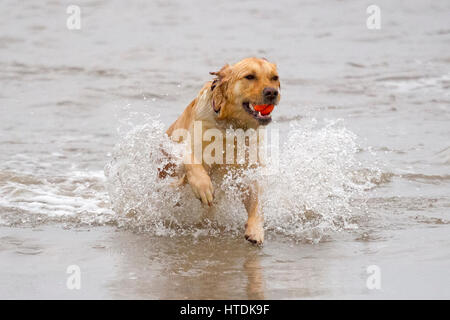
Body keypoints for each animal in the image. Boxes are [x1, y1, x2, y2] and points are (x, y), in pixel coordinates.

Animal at [163, 57, 280, 244]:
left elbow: (256, 200)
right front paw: (203, 187)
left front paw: (255, 230)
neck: (230, 126)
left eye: (274, 77)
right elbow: (190, 161)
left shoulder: (247, 171)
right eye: (250, 76)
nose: (272, 92)